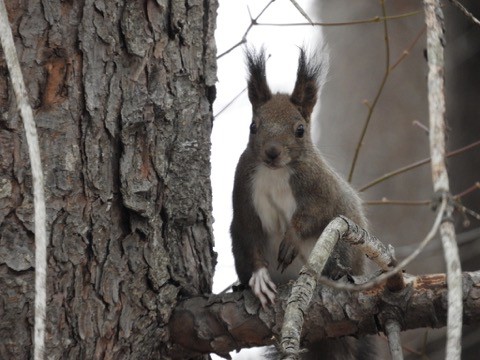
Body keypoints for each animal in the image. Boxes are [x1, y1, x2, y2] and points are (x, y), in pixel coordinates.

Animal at [231, 48, 374, 360]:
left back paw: (336, 272)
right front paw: (259, 278)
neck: (275, 172)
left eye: (299, 130)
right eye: (253, 126)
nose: (272, 152)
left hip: (343, 243)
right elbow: (250, 234)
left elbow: (312, 216)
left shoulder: (322, 191)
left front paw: (290, 241)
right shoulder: (243, 199)